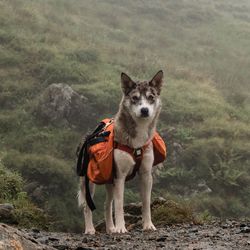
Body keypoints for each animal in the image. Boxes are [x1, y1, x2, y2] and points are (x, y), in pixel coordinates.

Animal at [78, 69, 164, 233]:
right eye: (135, 98)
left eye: (151, 97)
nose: (144, 110)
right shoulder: (120, 176)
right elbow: (119, 204)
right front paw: (121, 228)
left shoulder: (146, 174)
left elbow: (146, 203)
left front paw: (148, 225)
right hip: (89, 182)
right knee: (87, 206)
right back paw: (90, 229)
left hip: (110, 181)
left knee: (107, 204)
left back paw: (110, 228)